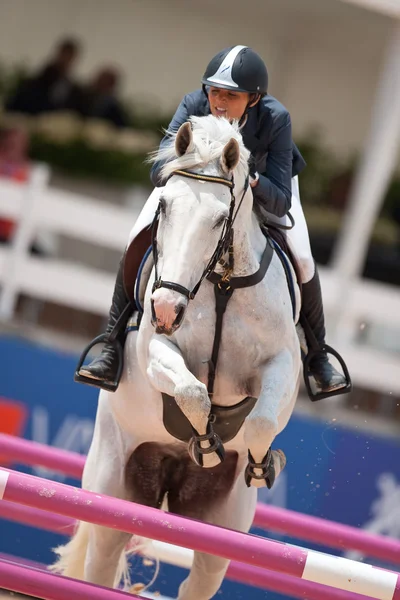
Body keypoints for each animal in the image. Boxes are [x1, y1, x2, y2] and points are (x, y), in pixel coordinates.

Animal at [54, 115, 304, 596]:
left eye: (221, 218)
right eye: (165, 207)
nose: (167, 309)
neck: (221, 283)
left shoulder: (280, 365)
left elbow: (262, 420)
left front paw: (263, 464)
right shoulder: (156, 350)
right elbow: (192, 392)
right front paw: (206, 443)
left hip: (220, 528)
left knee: (204, 572)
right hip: (114, 494)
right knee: (102, 559)